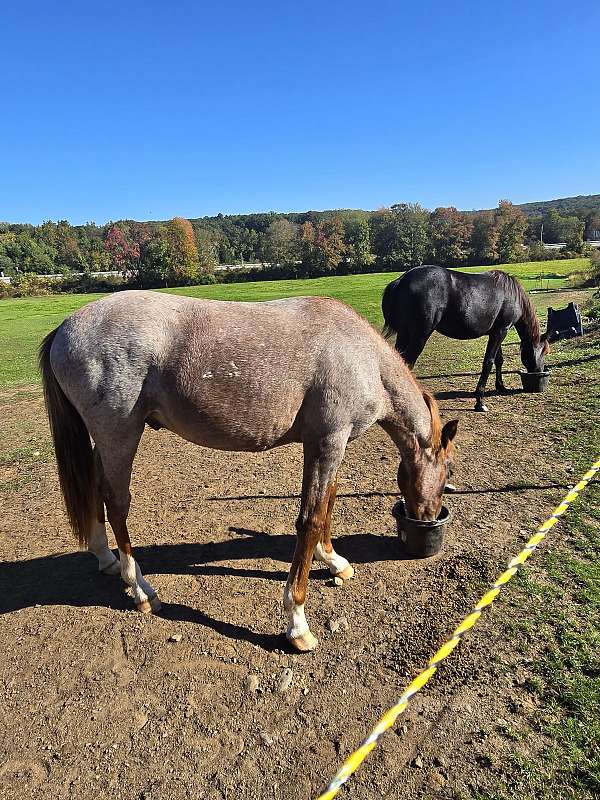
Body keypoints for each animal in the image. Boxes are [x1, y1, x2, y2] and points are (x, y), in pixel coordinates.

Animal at [39, 290, 457, 652]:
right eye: (449, 471)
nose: (429, 517)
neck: (360, 355)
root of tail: (66, 327)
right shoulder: (327, 442)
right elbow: (309, 519)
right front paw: (297, 622)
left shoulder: (331, 447)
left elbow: (326, 507)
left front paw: (334, 561)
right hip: (119, 436)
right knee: (116, 503)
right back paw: (141, 588)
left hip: (106, 441)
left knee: (94, 489)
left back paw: (105, 558)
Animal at [382, 266, 549, 412]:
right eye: (543, 352)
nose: (539, 371)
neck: (511, 294)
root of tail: (401, 281)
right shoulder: (501, 331)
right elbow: (488, 362)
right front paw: (480, 401)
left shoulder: (497, 332)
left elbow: (498, 360)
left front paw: (501, 387)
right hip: (419, 336)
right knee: (408, 363)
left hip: (404, 334)